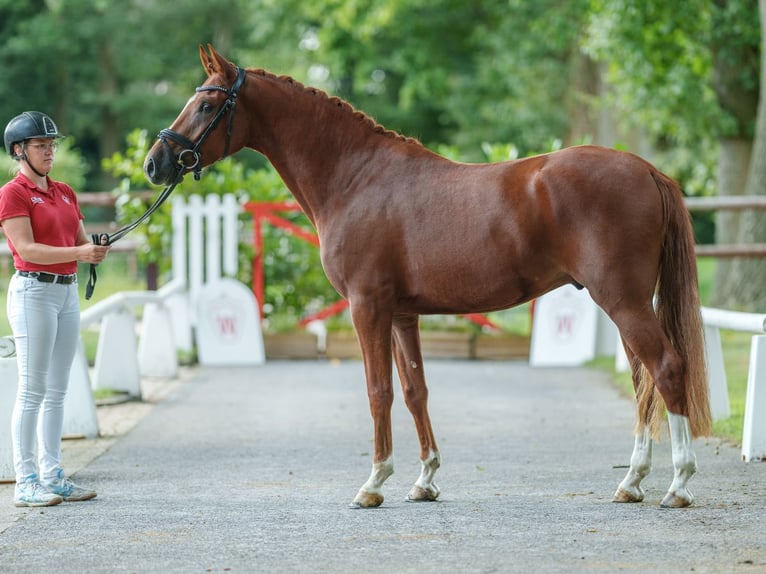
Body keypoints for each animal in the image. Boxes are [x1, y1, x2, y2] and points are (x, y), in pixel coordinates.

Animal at [146, 47, 712, 510]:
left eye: (206, 106)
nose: (156, 163)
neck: (356, 178)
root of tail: (646, 169)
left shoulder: (367, 307)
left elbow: (378, 390)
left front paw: (373, 484)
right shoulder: (402, 314)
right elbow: (416, 389)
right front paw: (424, 481)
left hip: (624, 301)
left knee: (665, 369)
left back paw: (679, 485)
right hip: (622, 303)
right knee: (642, 382)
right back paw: (631, 483)